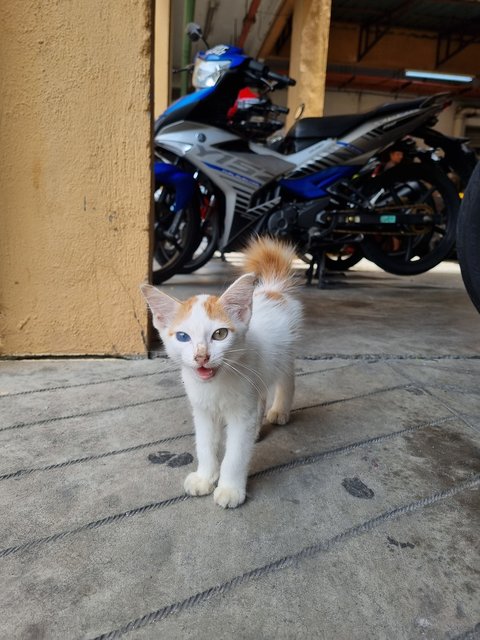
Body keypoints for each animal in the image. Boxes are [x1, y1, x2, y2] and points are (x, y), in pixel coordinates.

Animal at [141, 238, 302, 508]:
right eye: (183, 336)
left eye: (220, 334)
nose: (201, 357)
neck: (215, 386)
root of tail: (272, 290)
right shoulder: (203, 411)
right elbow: (205, 445)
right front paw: (205, 477)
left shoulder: (241, 413)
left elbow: (236, 454)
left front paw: (229, 488)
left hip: (285, 355)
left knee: (287, 380)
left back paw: (280, 410)